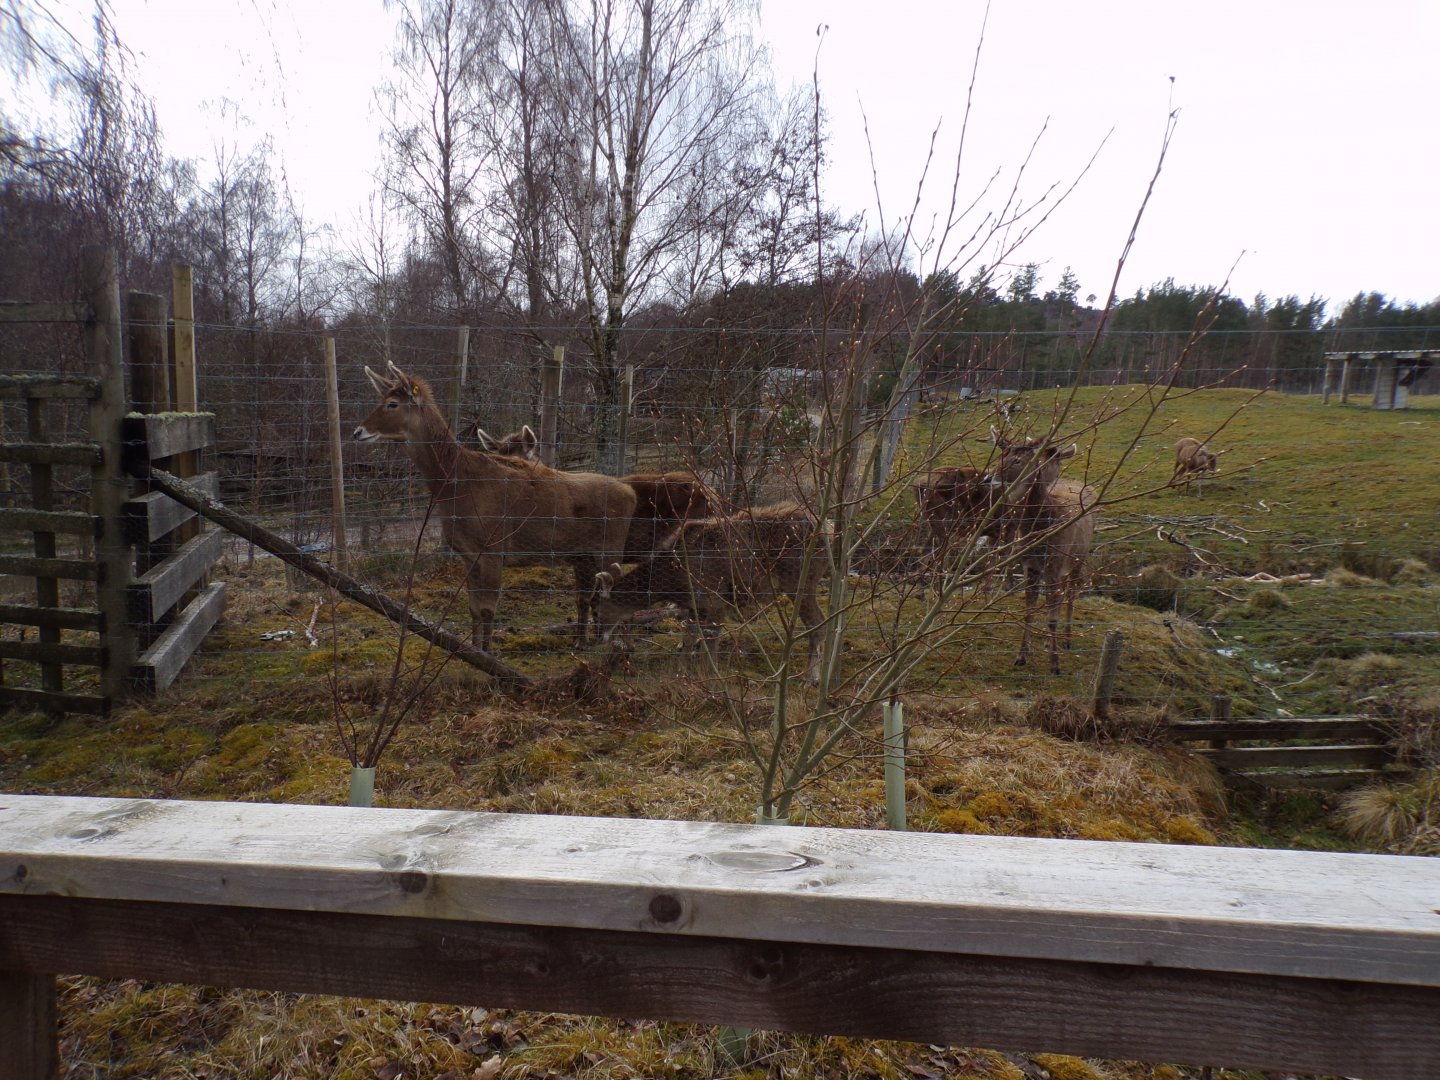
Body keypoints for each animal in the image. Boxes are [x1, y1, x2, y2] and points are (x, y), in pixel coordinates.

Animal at [353, 363, 637, 651]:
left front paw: (487, 654)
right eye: (382, 399)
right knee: (586, 596)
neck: (454, 489)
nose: (358, 432)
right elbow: (474, 609)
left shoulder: (493, 548)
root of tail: (631, 493)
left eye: (392, 403)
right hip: (583, 555)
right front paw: (472, 649)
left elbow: (489, 609)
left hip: (611, 546)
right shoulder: (468, 554)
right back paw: (584, 642)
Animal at [590, 502, 828, 682]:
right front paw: (681, 673)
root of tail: (828, 529)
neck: (672, 582)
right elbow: (689, 638)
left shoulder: (714, 600)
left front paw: (709, 676)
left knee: (818, 622)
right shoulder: (694, 606)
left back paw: (811, 678)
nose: (597, 638)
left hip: (800, 581)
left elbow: (711, 641)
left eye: (596, 608)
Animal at [990, 436, 1098, 674]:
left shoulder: (1054, 566)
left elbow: (1052, 618)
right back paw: (1050, 641)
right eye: (1002, 455)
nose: (989, 477)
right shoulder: (1029, 565)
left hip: (1079, 558)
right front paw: (1021, 656)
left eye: (1018, 460)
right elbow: (1029, 610)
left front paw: (1055, 665)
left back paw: (1066, 639)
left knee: (1070, 594)